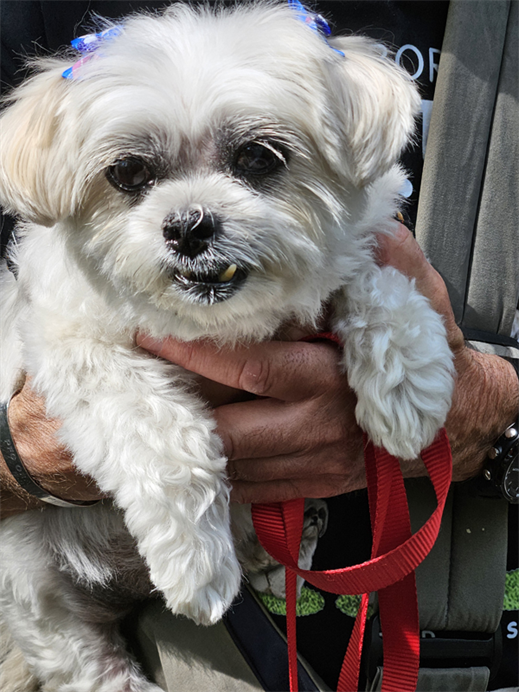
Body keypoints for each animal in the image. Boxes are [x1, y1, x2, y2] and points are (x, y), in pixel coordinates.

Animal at [0, 2, 454, 690]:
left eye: (259, 157)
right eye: (128, 172)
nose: (189, 227)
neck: (223, 323)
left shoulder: (356, 257)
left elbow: (370, 282)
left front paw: (407, 386)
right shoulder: (73, 343)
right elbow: (161, 432)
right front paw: (196, 561)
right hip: (43, 598)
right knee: (88, 660)